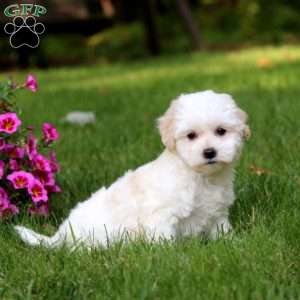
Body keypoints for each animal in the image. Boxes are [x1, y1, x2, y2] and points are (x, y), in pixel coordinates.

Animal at [15, 91, 250, 248]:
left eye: (221, 131)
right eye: (191, 135)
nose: (209, 152)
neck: (200, 176)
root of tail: (61, 235)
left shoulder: (217, 213)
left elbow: (221, 232)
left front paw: (232, 243)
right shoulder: (161, 215)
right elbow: (165, 241)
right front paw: (172, 257)